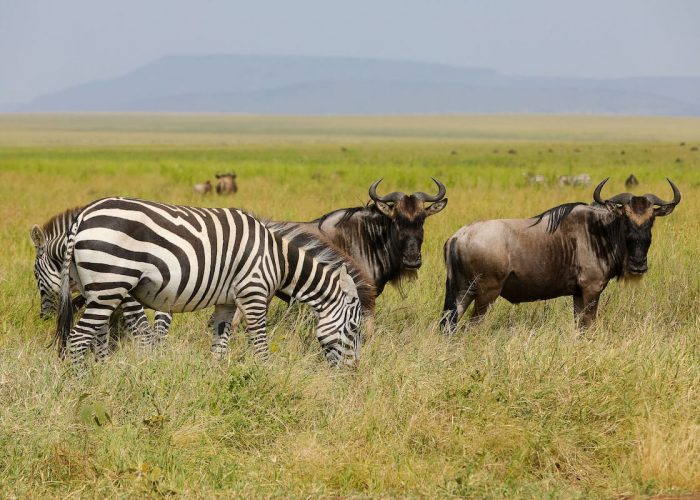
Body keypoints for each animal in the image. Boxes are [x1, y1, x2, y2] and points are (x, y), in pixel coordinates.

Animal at [55, 197, 374, 366]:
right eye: (355, 328)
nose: (353, 372)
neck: (278, 260)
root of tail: (83, 215)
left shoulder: (227, 302)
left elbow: (220, 345)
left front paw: (218, 380)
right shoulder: (254, 294)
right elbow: (260, 344)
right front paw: (265, 377)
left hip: (96, 289)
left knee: (95, 336)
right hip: (109, 286)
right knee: (79, 338)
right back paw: (81, 384)